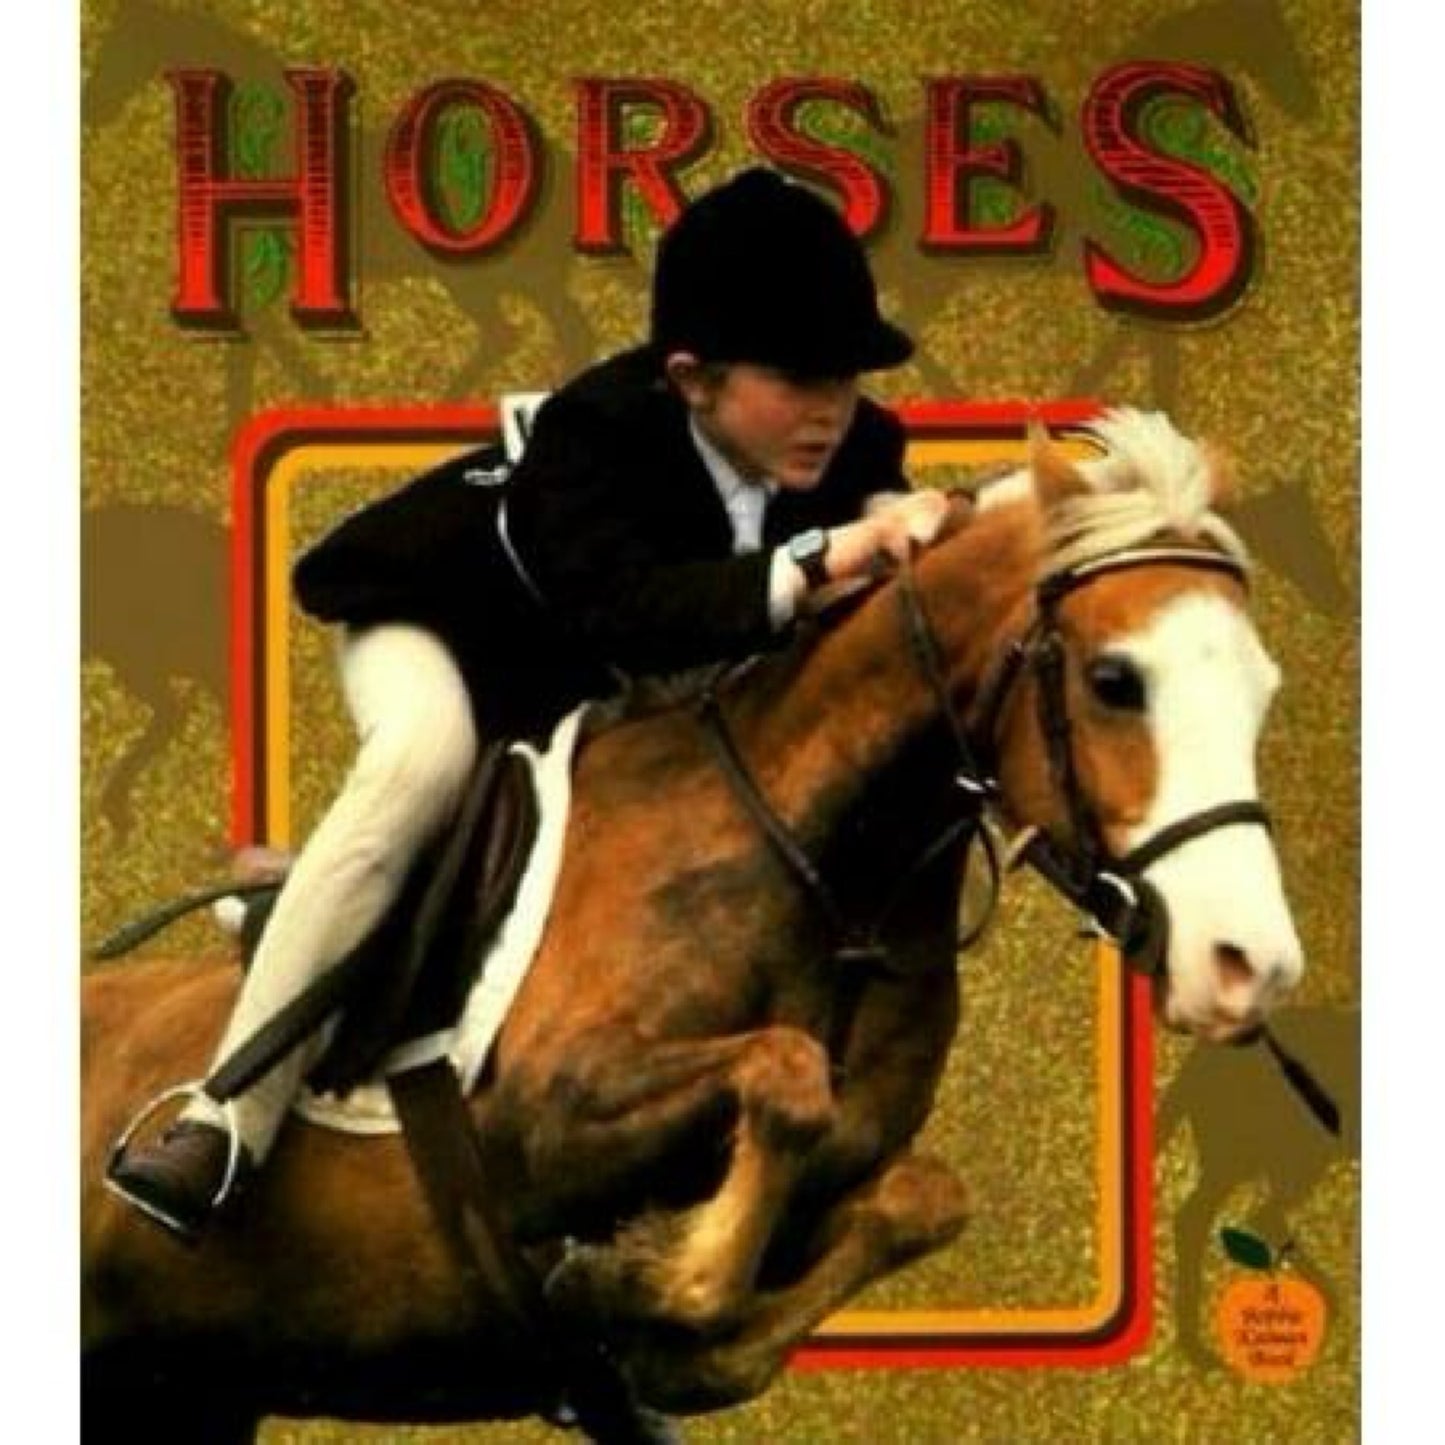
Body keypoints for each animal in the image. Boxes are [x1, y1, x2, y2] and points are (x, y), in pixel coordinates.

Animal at [81, 409, 1304, 1442]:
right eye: (1113, 679)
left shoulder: (846, 1165)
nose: (1249, 967)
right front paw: (630, 1275)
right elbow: (786, 1073)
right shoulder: (539, 1118)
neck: (831, 877)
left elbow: (912, 1199)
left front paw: (644, 1304)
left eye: (1263, 690)